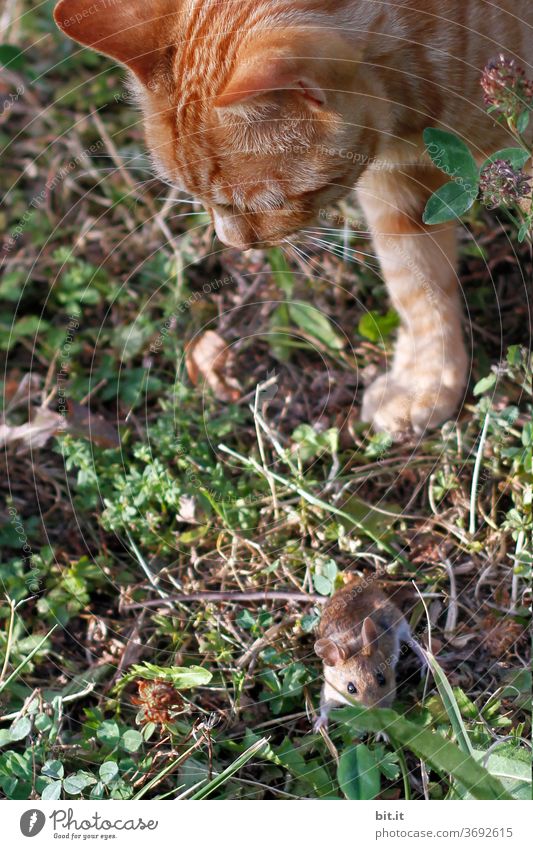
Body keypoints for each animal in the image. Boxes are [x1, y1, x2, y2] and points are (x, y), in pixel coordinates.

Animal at [54, 0, 532, 438]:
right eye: (195, 196)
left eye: (269, 202)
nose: (232, 243)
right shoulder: (398, 190)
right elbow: (417, 287)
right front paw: (426, 382)